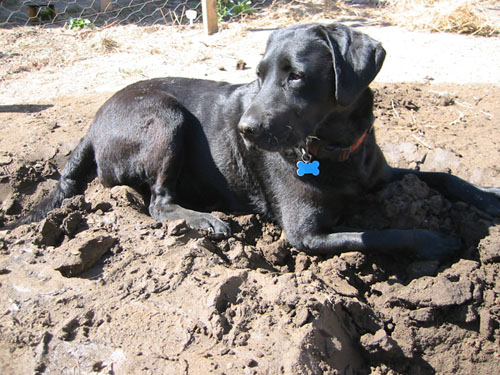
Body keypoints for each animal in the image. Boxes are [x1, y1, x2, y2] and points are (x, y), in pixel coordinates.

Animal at [15, 22, 500, 260]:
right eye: (259, 74)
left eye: (296, 76)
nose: (245, 130)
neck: (334, 151)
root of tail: (92, 124)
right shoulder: (304, 235)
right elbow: (378, 235)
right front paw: (434, 241)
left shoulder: (378, 174)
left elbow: (441, 175)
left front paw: (488, 195)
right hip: (167, 118)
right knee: (157, 203)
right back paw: (206, 220)